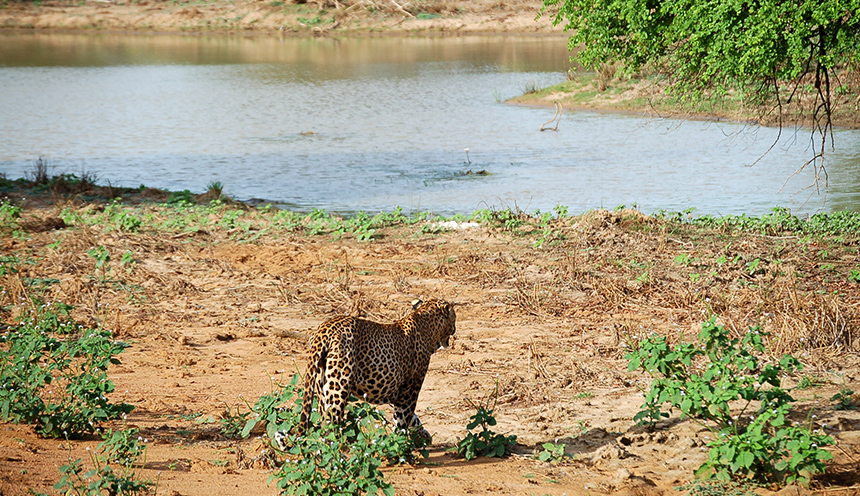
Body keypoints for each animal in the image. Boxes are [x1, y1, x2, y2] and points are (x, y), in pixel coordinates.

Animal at [276, 298, 456, 450]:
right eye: (454, 317)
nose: (455, 329)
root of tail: (323, 330)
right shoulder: (410, 390)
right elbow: (403, 420)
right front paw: (401, 447)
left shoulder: (396, 392)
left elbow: (412, 418)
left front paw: (423, 436)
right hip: (338, 387)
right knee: (331, 426)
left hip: (322, 388)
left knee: (323, 424)